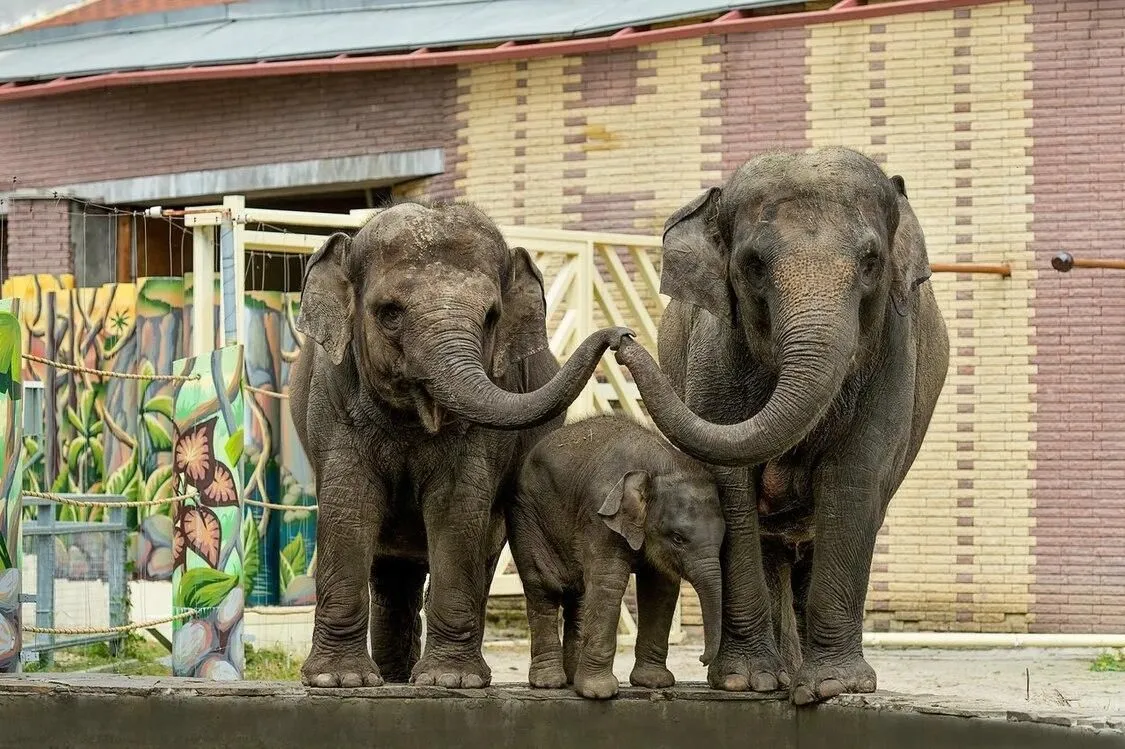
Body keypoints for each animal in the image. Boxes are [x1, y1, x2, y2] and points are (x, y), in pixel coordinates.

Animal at [290, 200, 634, 688]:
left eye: (491, 317)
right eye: (389, 313)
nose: (621, 335)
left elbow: (457, 508)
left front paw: (450, 682)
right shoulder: (333, 399)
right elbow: (350, 505)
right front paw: (340, 682)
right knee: (391, 569)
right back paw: (394, 678)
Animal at [508, 411, 724, 697]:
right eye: (678, 538)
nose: (701, 660)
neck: (658, 466)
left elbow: (660, 588)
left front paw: (654, 682)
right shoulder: (599, 516)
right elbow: (609, 583)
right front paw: (598, 693)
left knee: (578, 596)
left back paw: (571, 679)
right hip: (527, 518)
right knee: (544, 588)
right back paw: (549, 683)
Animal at [616, 147, 949, 706]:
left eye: (871, 262)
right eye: (752, 265)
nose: (619, 341)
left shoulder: (894, 349)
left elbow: (854, 476)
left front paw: (834, 687)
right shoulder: (716, 347)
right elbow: (729, 481)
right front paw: (743, 682)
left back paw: (799, 678)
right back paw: (780, 676)